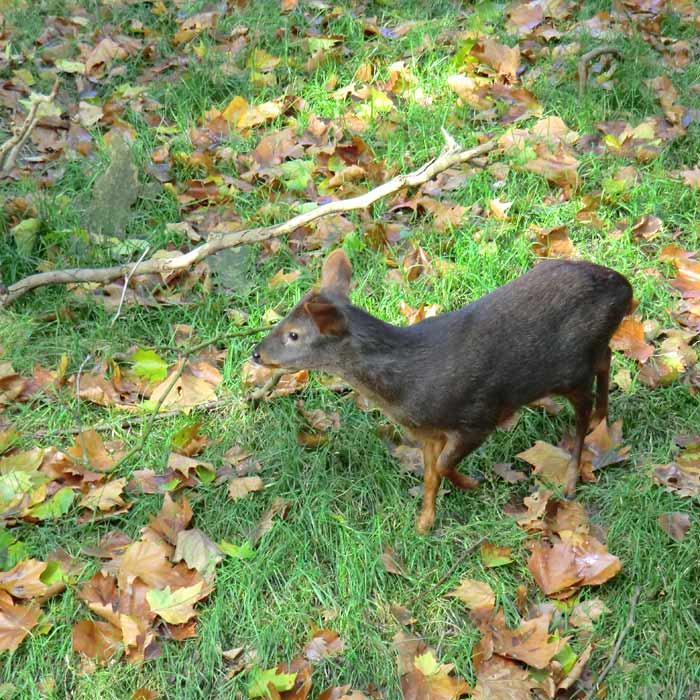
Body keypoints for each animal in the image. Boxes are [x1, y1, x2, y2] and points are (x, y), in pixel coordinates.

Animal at [253, 250, 636, 532]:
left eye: (294, 334)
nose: (255, 352)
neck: (408, 386)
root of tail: (626, 287)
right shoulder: (427, 432)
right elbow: (430, 475)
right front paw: (424, 522)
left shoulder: (479, 416)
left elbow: (443, 466)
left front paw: (471, 484)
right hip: (585, 359)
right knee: (607, 358)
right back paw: (602, 418)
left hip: (570, 368)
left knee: (584, 407)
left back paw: (572, 477)